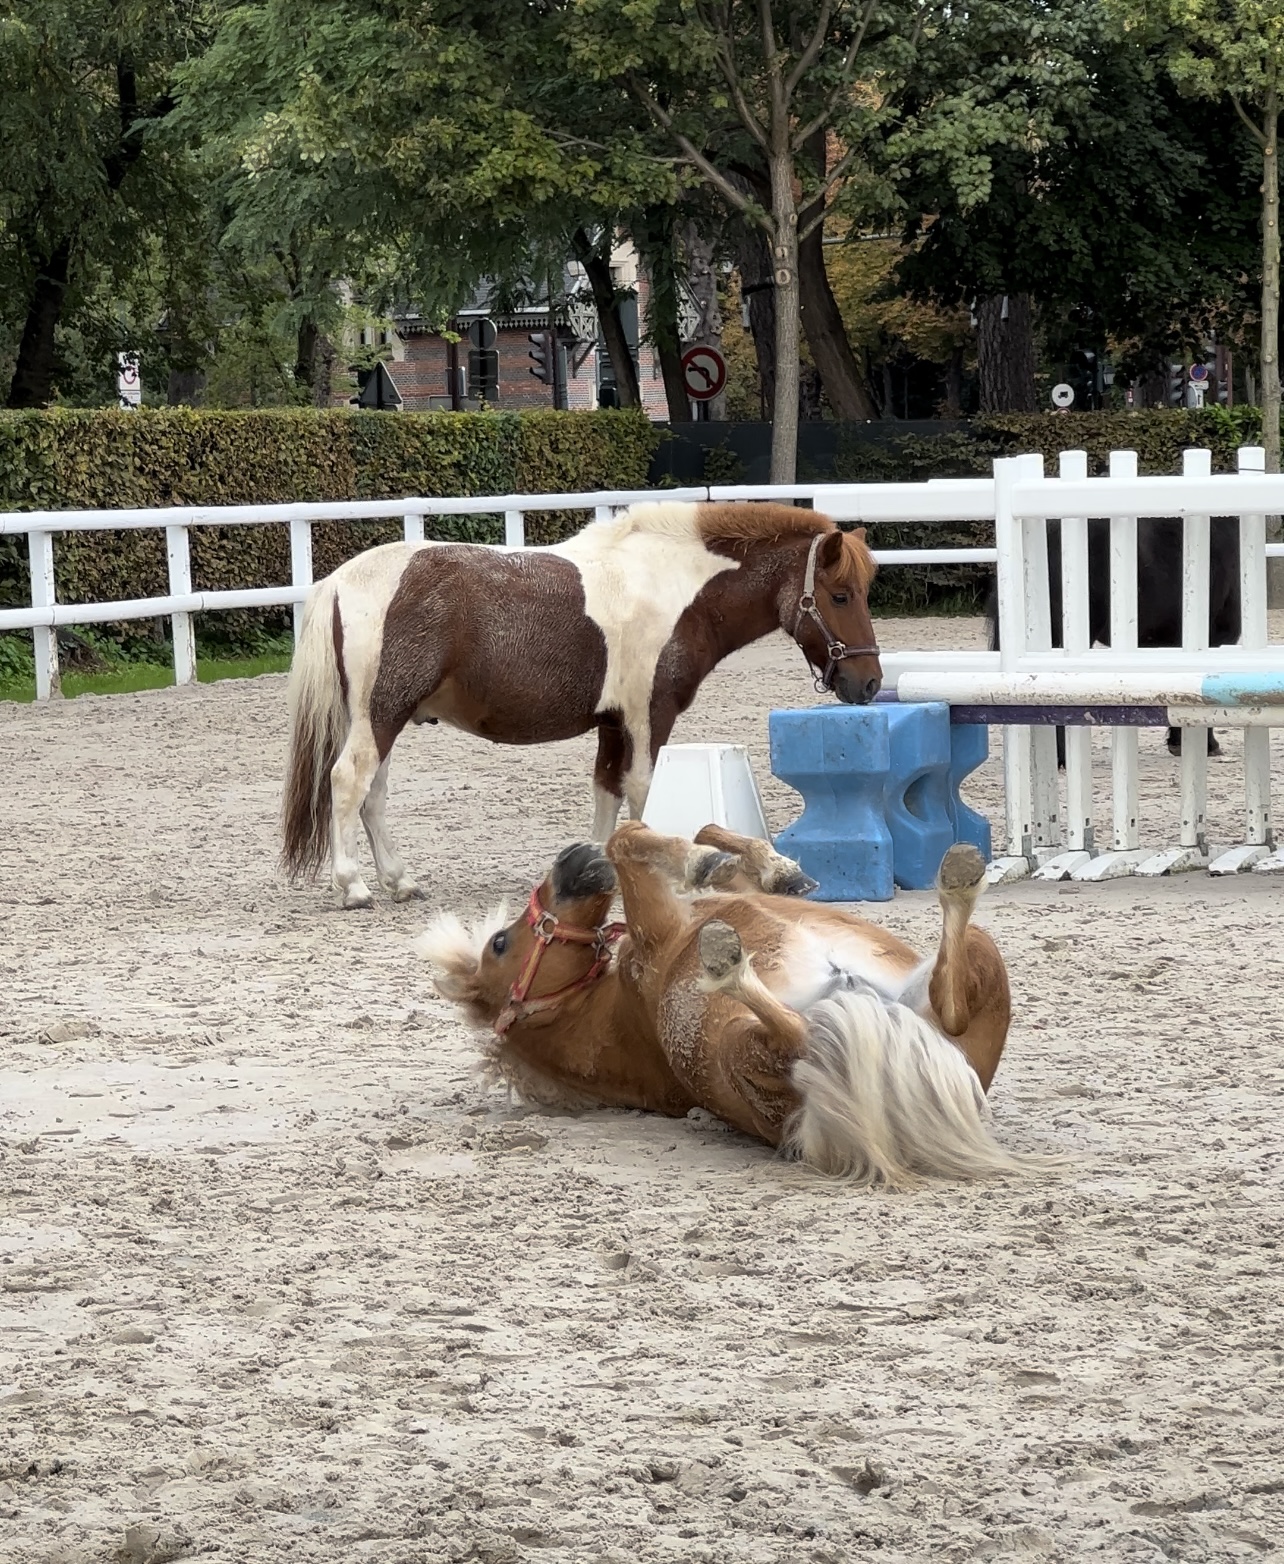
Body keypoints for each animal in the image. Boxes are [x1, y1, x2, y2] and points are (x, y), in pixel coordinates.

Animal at [279, 500, 882, 913]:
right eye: (841, 595)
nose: (870, 682)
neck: (671, 585)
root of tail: (341, 580)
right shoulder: (646, 715)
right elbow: (642, 790)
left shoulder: (612, 723)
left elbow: (606, 794)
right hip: (381, 716)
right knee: (349, 781)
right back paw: (354, 886)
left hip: (385, 718)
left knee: (373, 795)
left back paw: (399, 880)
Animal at [422, 825, 1044, 1176]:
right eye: (500, 943)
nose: (571, 857)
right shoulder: (659, 927)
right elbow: (628, 836)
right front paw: (697, 860)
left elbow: (705, 839)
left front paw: (768, 868)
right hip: (746, 1048)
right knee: (796, 1032)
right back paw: (729, 965)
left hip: (969, 984)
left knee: (951, 992)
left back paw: (958, 881)